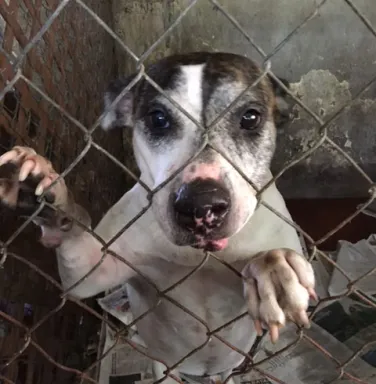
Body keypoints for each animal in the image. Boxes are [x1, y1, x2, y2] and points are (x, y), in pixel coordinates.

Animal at [0, 51, 316, 384]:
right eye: (158, 119)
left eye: (251, 117)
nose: (200, 204)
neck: (197, 255)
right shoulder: (94, 269)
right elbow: (78, 254)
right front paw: (42, 189)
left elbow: (268, 258)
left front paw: (273, 267)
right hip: (163, 365)